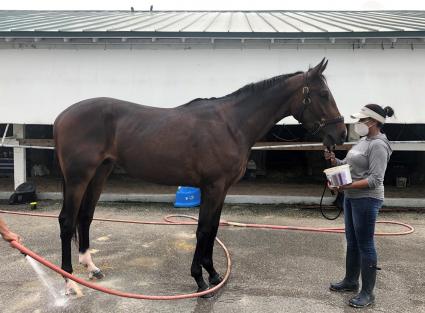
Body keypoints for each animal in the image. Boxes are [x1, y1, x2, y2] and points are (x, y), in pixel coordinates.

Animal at [53, 58, 344, 294]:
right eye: (324, 94)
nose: (340, 134)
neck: (231, 124)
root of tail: (61, 117)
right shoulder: (213, 186)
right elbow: (203, 229)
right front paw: (201, 280)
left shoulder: (221, 189)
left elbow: (212, 228)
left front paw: (213, 274)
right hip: (79, 177)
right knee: (67, 221)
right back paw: (68, 281)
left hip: (99, 173)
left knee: (85, 216)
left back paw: (91, 268)